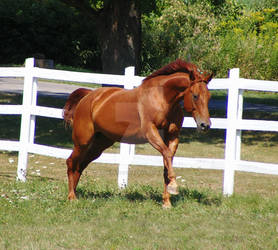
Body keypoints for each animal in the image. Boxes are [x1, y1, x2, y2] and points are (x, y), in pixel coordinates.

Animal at [63, 58, 213, 207]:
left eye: (209, 97)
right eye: (195, 95)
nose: (205, 125)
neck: (163, 99)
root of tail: (88, 96)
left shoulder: (172, 137)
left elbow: (167, 161)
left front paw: (167, 202)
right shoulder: (151, 133)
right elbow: (167, 155)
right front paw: (174, 186)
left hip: (100, 144)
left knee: (80, 165)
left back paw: (75, 193)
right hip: (82, 142)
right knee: (71, 162)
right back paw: (71, 197)